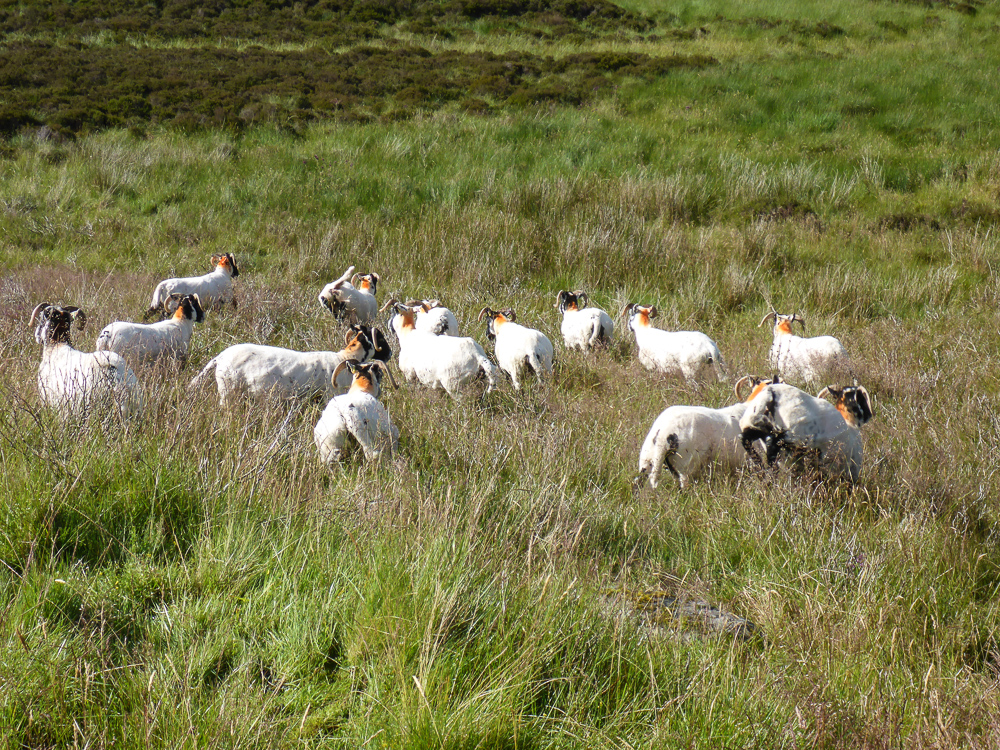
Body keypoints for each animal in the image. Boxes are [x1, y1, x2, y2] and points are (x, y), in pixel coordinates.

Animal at [188, 326, 390, 408]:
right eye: (379, 337)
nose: (389, 353)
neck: (345, 358)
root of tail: (219, 357)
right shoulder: (330, 395)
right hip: (228, 391)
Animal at [736, 384, 876, 484]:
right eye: (861, 398)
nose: (869, 415)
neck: (849, 422)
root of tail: (770, 394)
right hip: (794, 435)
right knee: (773, 447)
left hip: (756, 425)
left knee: (746, 439)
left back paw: (762, 470)